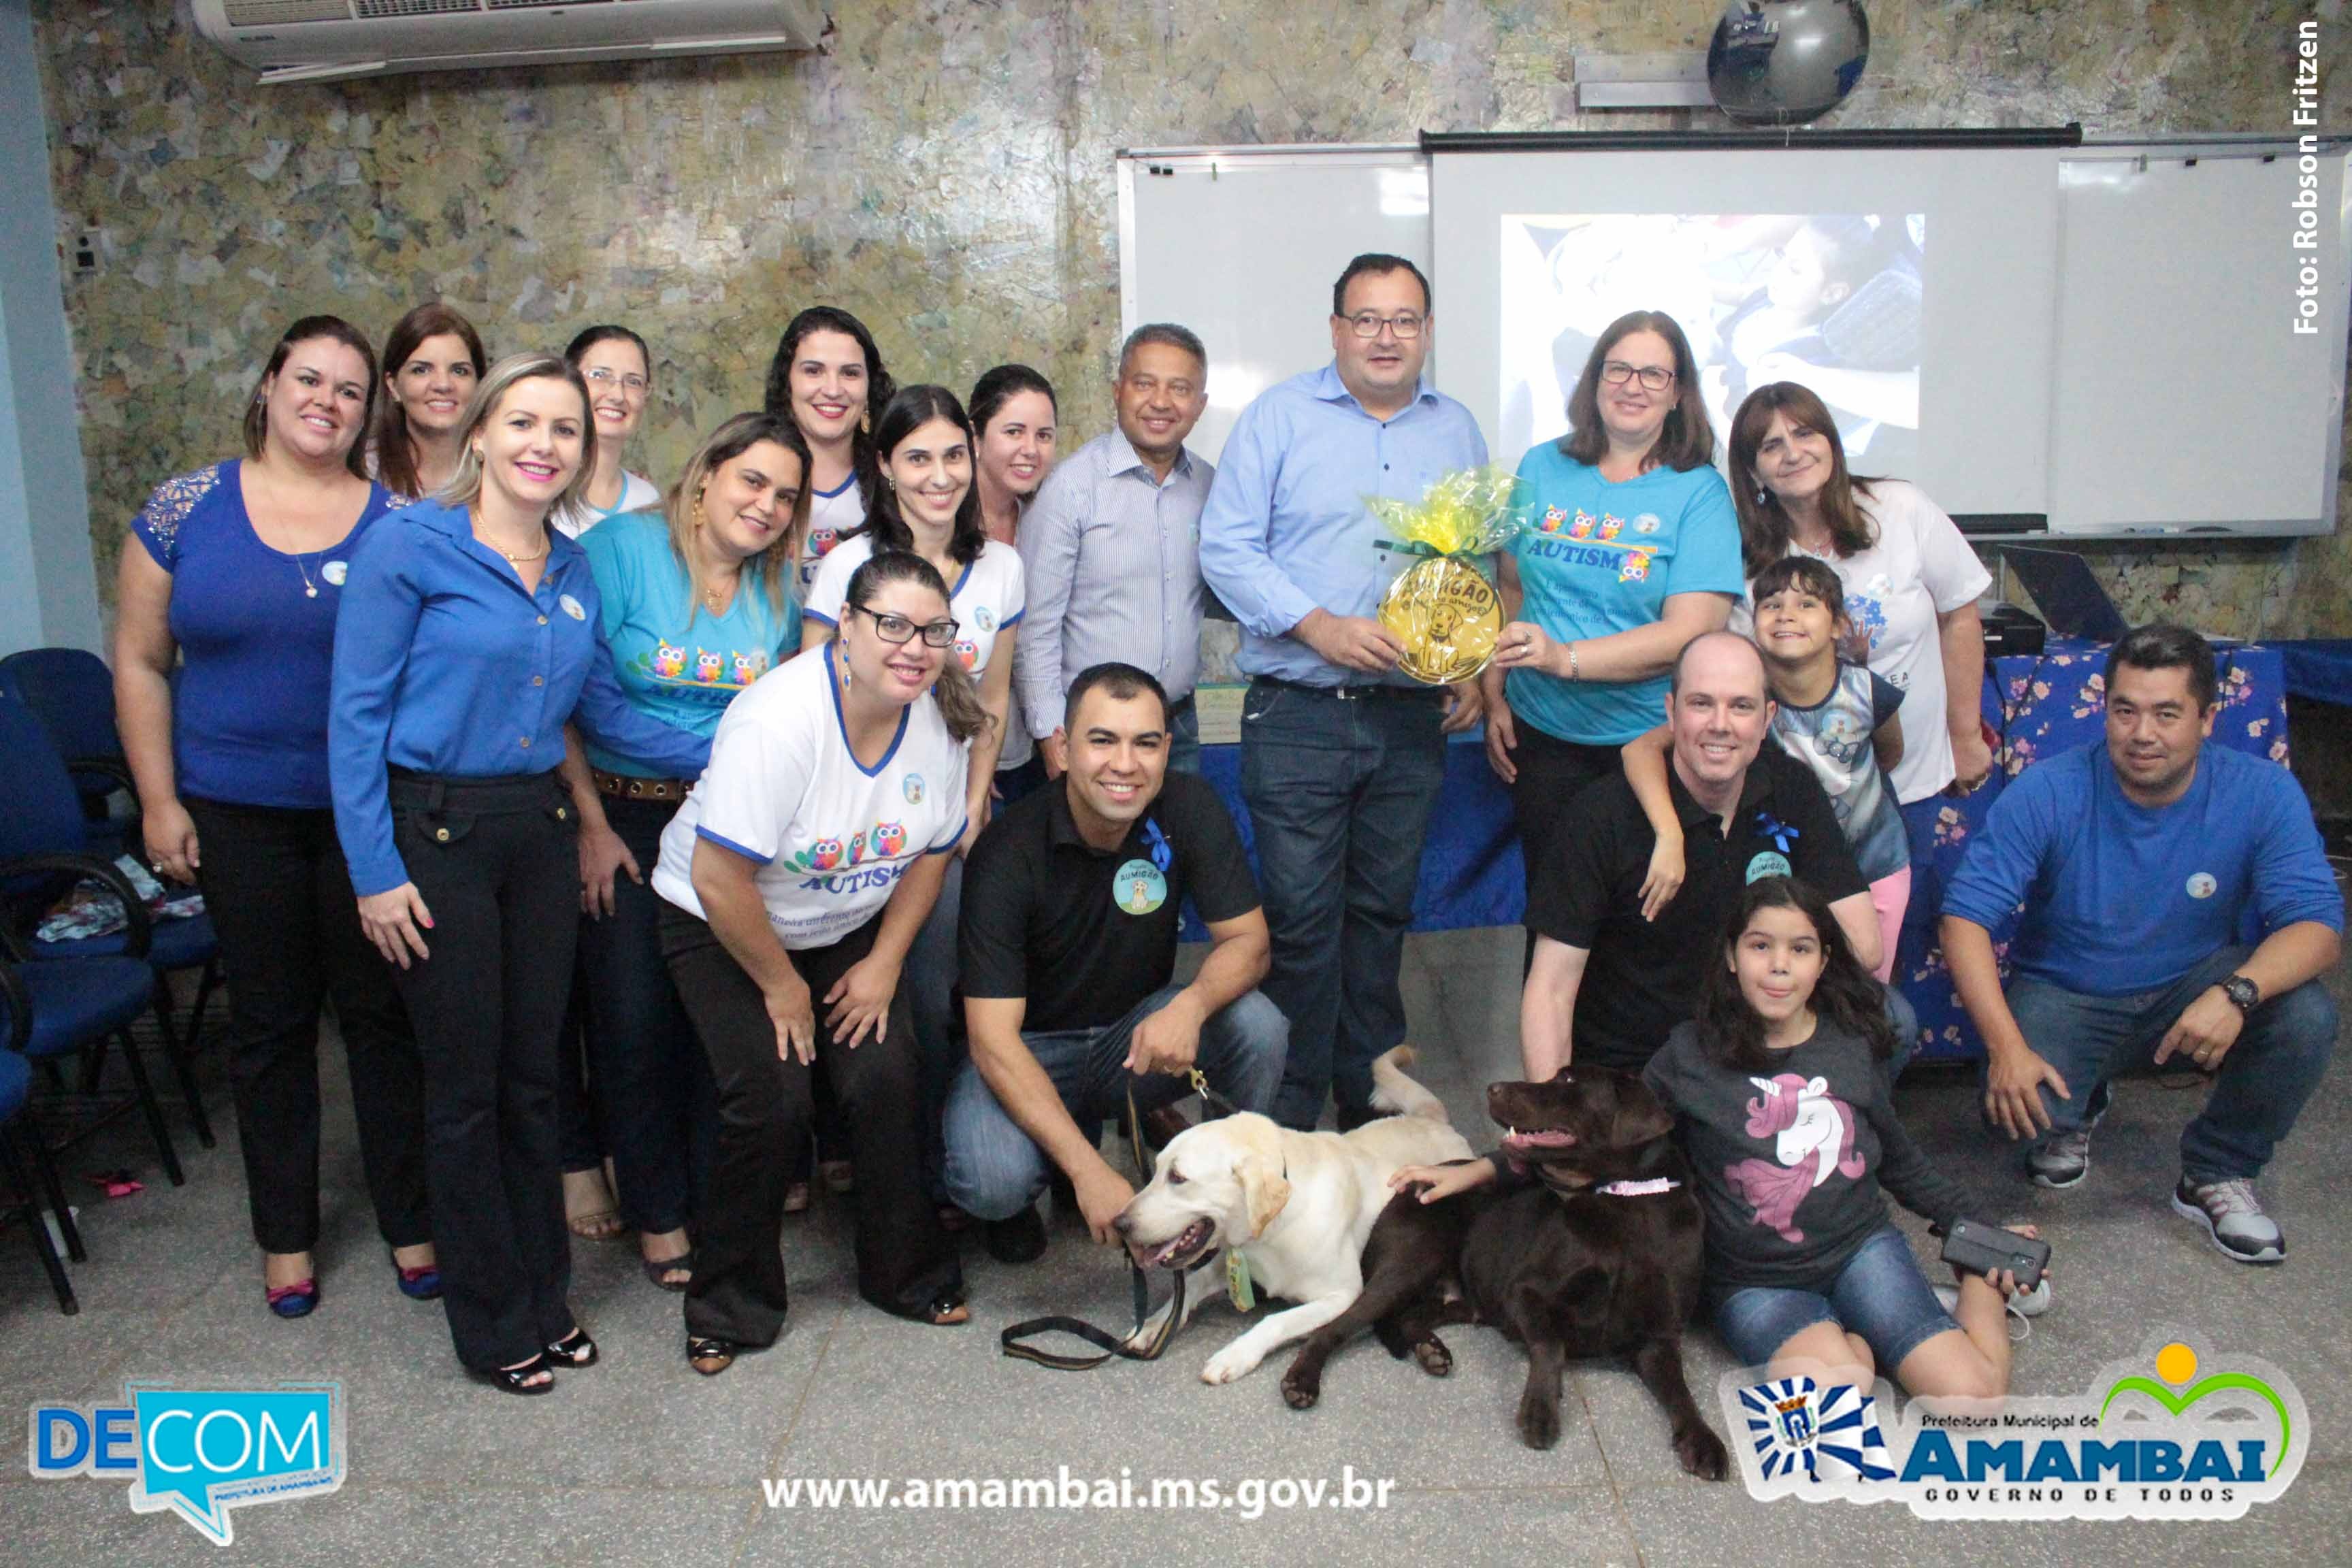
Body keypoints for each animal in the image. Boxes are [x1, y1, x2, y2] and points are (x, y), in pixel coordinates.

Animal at [1110, 1053, 1458, 1382]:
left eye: (1178, 1177)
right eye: (1158, 1168)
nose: (1119, 1225)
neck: (1272, 1233)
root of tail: (1430, 1119)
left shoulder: (1342, 1294)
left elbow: (1275, 1320)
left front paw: (1234, 1355)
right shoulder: (1233, 1263)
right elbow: (1193, 1282)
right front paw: (1155, 1324)